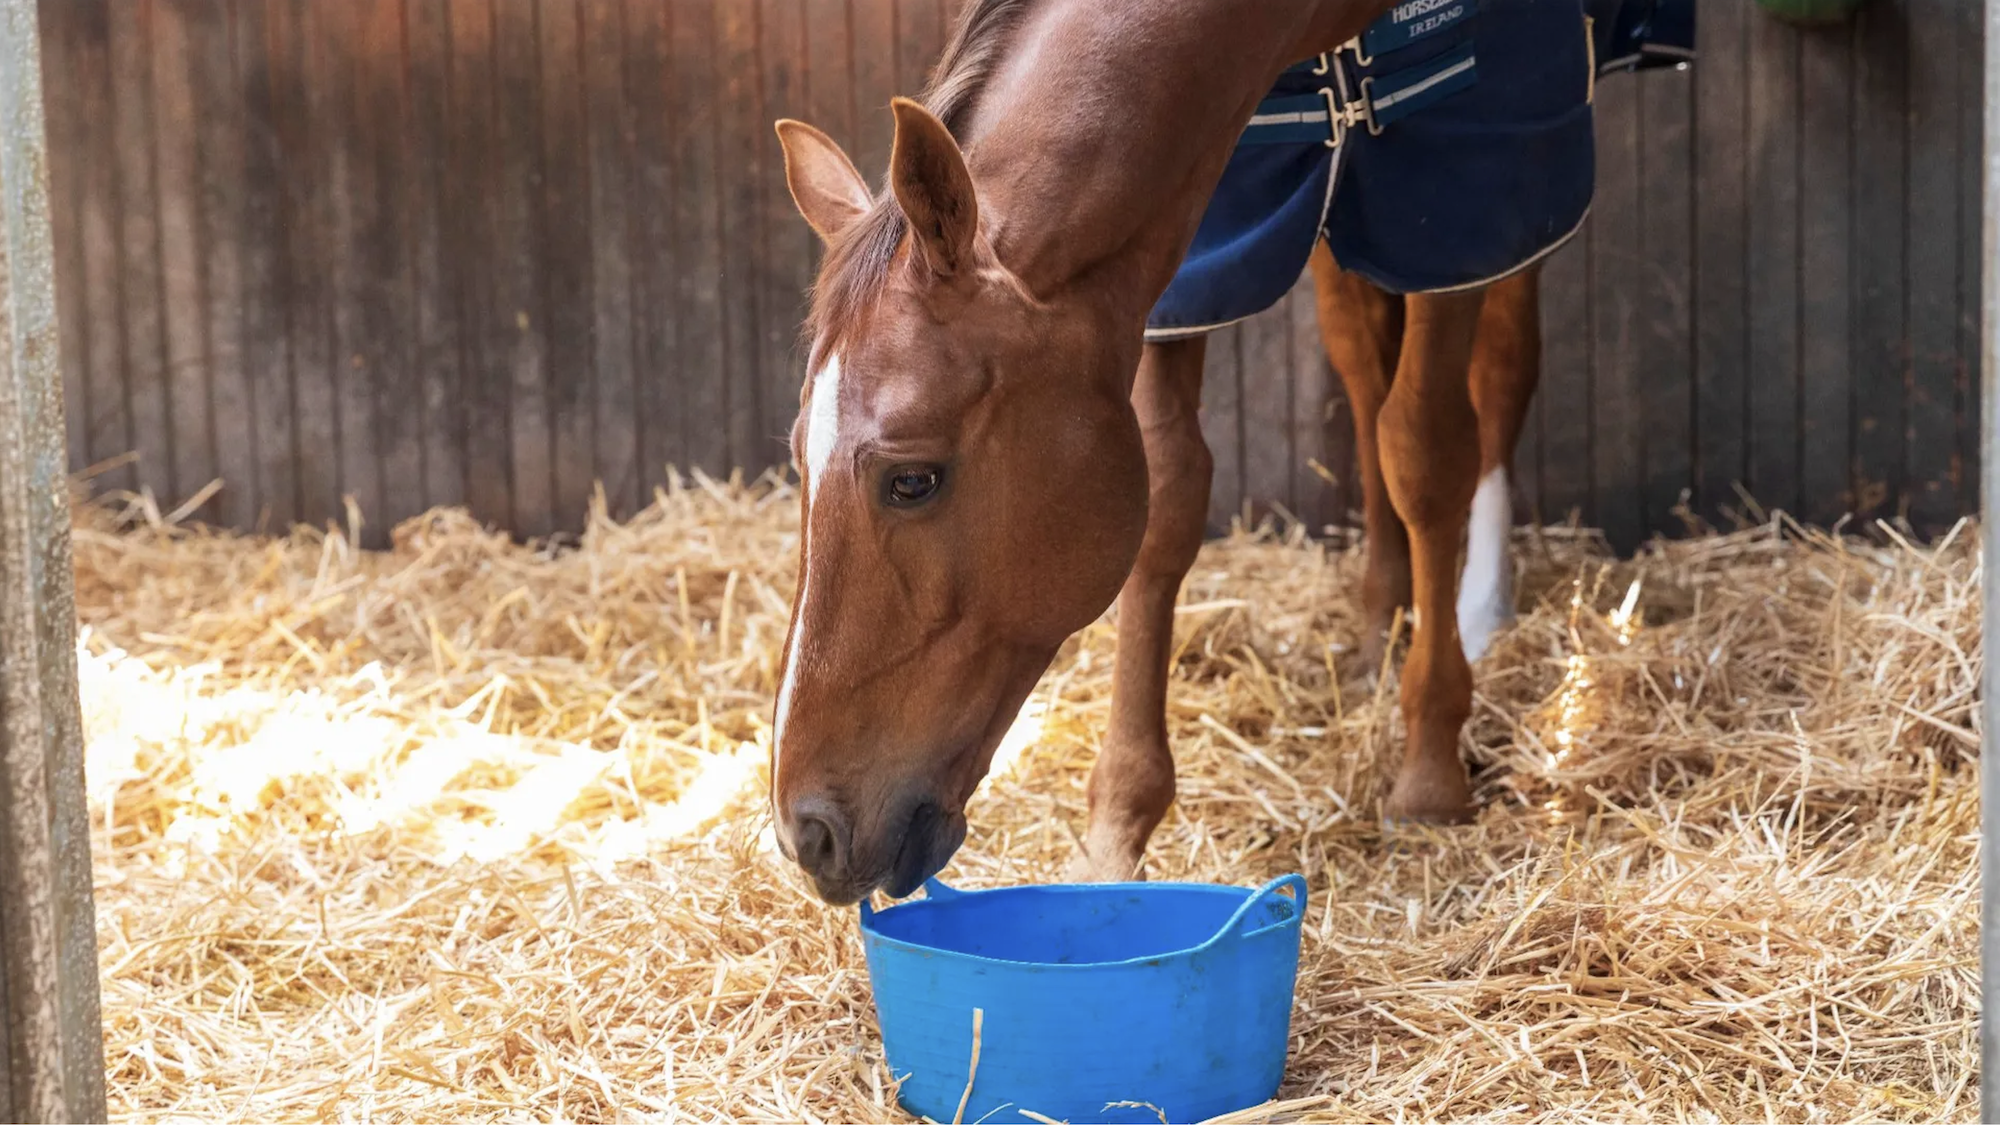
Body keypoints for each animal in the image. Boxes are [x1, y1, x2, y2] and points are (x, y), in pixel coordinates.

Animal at [764, 0, 1674, 905]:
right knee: (1359, 365)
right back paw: (1380, 618)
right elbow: (1168, 496)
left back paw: (1479, 605)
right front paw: (1117, 824)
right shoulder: (1190, 237)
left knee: (1495, 373)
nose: (806, 832)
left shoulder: (1467, 159)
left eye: (912, 480)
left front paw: (1429, 770)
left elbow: (1426, 451)